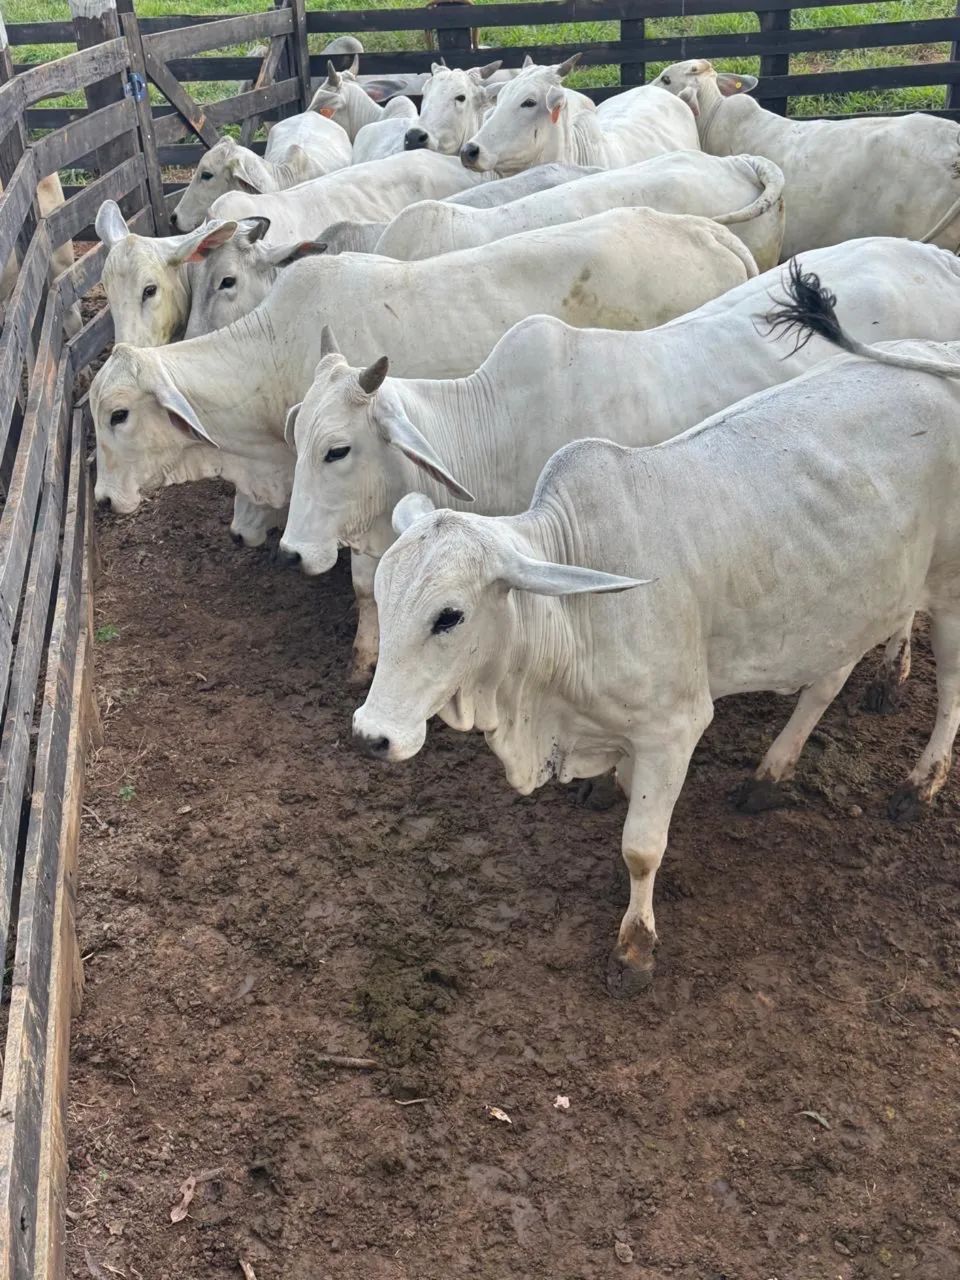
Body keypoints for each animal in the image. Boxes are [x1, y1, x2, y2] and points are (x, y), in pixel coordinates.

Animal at [353, 291, 960, 995]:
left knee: (950, 689)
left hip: (948, 592)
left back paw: (919, 786)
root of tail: (941, 355)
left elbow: (641, 847)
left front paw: (635, 947)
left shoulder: (676, 726)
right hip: (849, 596)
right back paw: (771, 773)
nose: (371, 734)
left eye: (449, 617)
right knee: (828, 679)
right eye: (384, 595)